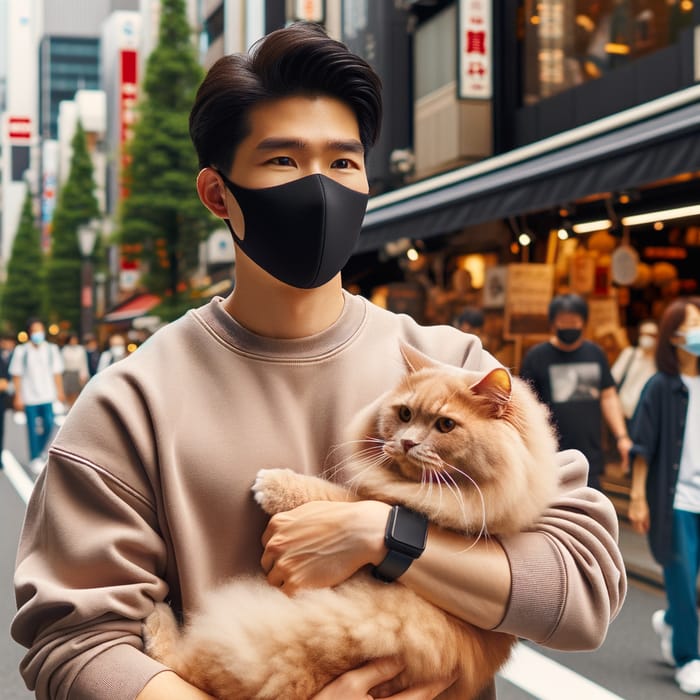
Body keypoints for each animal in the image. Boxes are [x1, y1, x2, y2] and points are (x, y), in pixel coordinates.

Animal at [145, 344, 560, 700]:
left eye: (445, 425)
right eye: (405, 415)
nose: (407, 443)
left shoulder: (377, 503)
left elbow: (330, 494)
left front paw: (274, 483)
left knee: (181, 665)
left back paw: (156, 620)